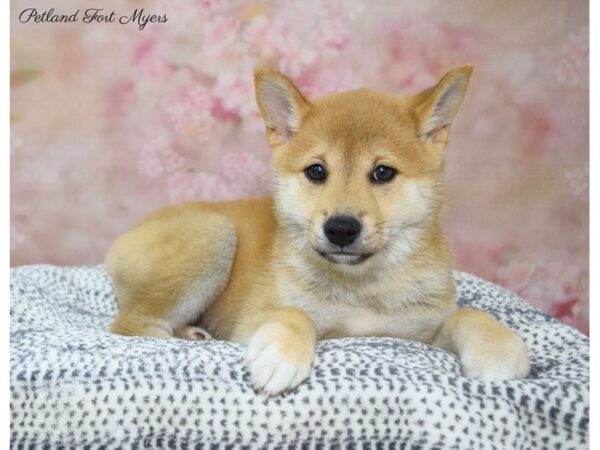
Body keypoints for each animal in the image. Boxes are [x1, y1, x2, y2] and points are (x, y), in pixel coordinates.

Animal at [108, 65, 528, 396]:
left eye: (383, 172)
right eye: (316, 171)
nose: (340, 228)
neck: (360, 289)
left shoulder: (417, 332)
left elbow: (468, 314)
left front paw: (498, 347)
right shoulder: (249, 323)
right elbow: (297, 313)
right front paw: (281, 354)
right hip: (215, 235)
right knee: (131, 324)